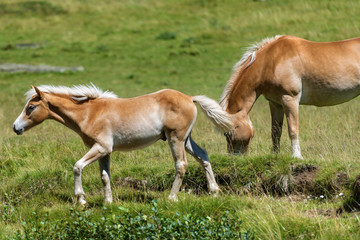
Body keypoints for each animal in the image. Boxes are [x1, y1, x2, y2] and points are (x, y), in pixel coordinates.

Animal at [12, 84, 232, 204]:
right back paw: (214, 192)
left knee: (181, 165)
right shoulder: (105, 152)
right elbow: (104, 176)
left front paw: (81, 199)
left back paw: (171, 198)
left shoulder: (101, 147)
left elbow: (77, 167)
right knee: (203, 156)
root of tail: (189, 98)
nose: (16, 127)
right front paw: (108, 202)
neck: (89, 113)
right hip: (186, 140)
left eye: (31, 107)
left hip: (176, 139)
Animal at [221, 35, 360, 158]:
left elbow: (293, 129)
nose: (232, 157)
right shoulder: (275, 103)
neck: (272, 60)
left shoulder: (289, 99)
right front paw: (275, 155)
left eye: (227, 134)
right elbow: (276, 131)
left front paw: (297, 156)